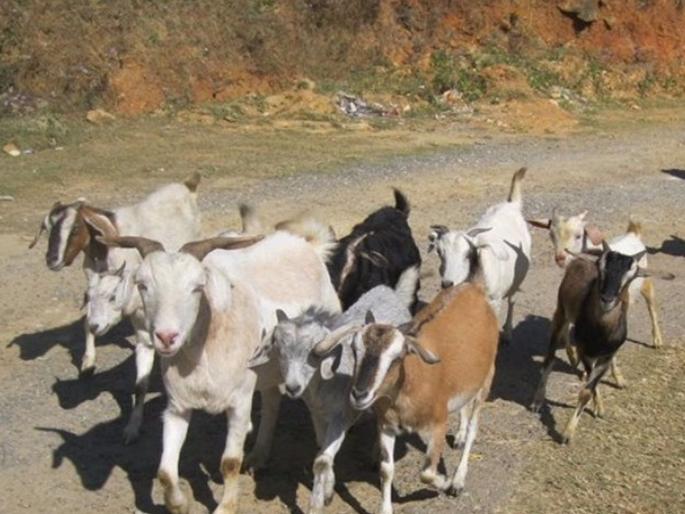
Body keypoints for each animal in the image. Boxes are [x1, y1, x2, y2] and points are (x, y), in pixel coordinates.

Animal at [250, 268, 417, 513]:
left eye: (312, 355)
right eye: (280, 352)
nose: (292, 387)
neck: (323, 386)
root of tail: (390, 292)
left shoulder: (342, 415)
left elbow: (321, 460)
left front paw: (316, 503)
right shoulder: (317, 414)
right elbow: (322, 448)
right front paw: (328, 490)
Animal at [315, 279, 499, 514]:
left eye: (396, 358)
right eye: (355, 351)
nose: (359, 394)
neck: (411, 383)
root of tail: (473, 287)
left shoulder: (439, 423)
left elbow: (427, 473)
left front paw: (445, 482)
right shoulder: (387, 425)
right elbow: (386, 470)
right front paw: (385, 508)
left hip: (486, 380)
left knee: (474, 429)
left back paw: (458, 480)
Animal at [428, 167, 531, 342]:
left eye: (468, 253)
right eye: (440, 252)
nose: (447, 284)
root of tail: (512, 205)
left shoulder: (494, 302)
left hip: (517, 277)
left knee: (512, 300)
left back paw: (508, 333)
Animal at [528, 212, 664, 349]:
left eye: (578, 236)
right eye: (551, 235)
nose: (560, 258)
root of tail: (632, 233)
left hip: (645, 282)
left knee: (651, 304)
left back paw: (657, 340)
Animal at [530, 243, 674, 443]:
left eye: (632, 274)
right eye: (600, 267)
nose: (607, 299)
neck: (600, 332)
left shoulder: (606, 355)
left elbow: (590, 386)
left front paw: (572, 427)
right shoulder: (586, 352)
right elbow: (588, 386)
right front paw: (567, 434)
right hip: (561, 313)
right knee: (550, 357)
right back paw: (537, 400)